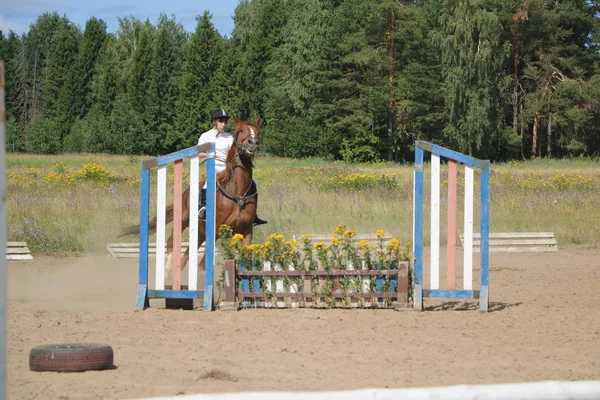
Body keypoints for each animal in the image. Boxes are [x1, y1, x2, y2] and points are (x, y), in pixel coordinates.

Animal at [118, 114, 262, 286]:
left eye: (257, 131)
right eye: (241, 130)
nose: (253, 143)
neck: (238, 194)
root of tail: (185, 193)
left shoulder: (247, 232)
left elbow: (247, 262)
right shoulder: (215, 231)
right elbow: (202, 266)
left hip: (199, 232)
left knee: (184, 258)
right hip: (183, 221)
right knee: (171, 242)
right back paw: (167, 270)